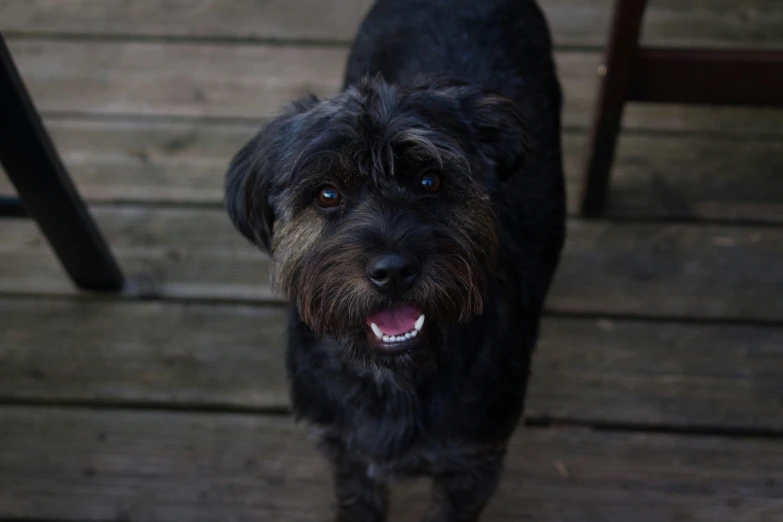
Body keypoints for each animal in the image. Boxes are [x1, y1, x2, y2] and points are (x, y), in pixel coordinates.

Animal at [225, 2, 564, 516]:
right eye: (327, 194)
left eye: (430, 180)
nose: (393, 272)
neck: (392, 378)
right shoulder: (344, 454)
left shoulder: (472, 467)